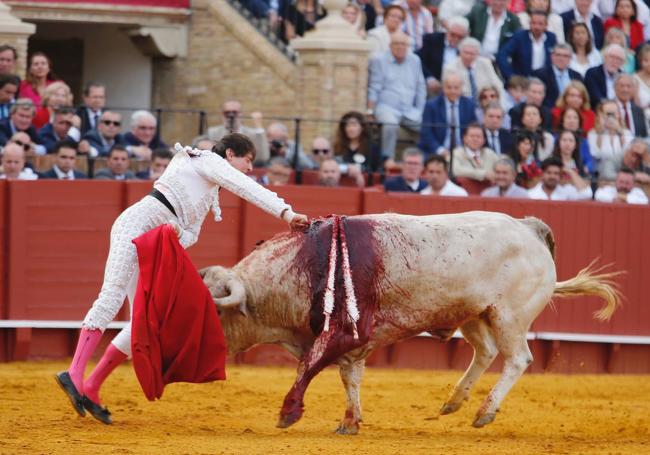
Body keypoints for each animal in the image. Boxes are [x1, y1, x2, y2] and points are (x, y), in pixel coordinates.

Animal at [200, 213, 616, 434]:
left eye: (217, 310)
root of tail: (529, 228)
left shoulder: (340, 334)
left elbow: (310, 367)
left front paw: (288, 413)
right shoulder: (351, 344)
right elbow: (349, 377)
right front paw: (350, 421)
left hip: (509, 316)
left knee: (517, 359)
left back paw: (484, 412)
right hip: (475, 314)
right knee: (485, 352)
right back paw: (454, 401)